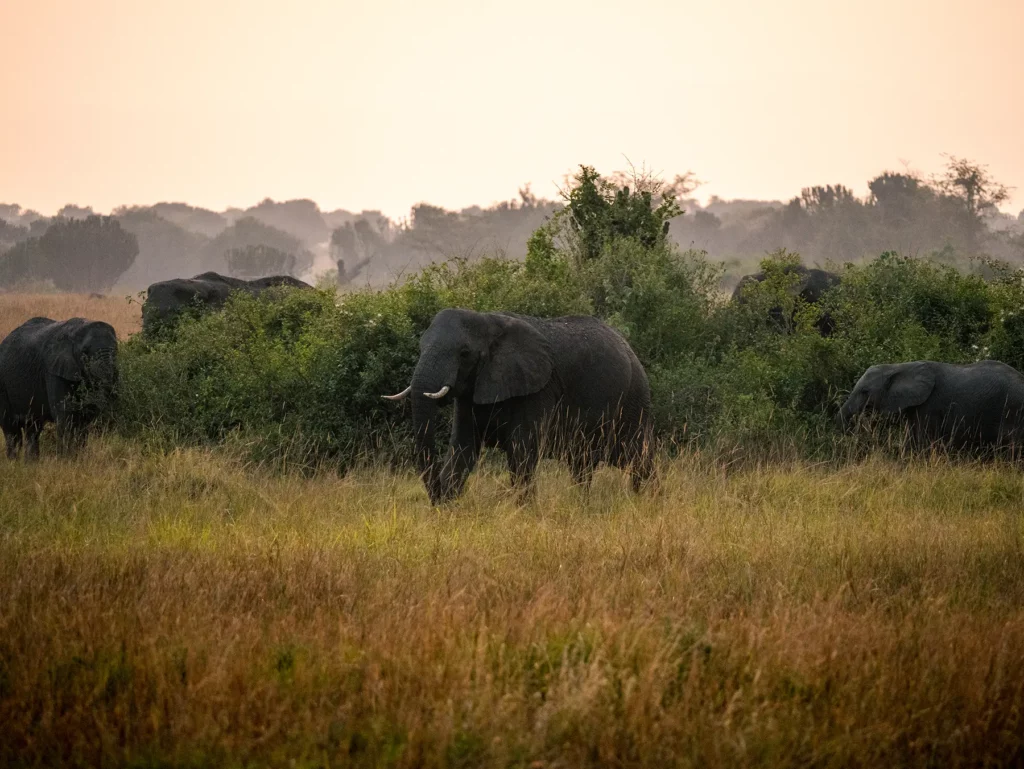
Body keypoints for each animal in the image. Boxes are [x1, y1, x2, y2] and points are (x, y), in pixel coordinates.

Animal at [0, 317, 119, 459]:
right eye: (84, 351)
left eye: (116, 349)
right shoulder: (53, 370)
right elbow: (65, 415)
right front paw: (67, 459)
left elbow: (85, 417)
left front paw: (79, 457)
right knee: (11, 429)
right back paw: (14, 461)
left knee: (32, 428)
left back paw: (31, 462)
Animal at [382, 308, 656, 504]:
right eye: (420, 346)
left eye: (464, 353)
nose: (437, 498)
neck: (488, 321)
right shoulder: (471, 392)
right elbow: (462, 448)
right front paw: (446, 509)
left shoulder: (539, 388)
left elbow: (522, 451)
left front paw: (524, 510)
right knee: (582, 464)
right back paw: (583, 502)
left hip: (634, 400)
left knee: (638, 457)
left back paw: (646, 499)